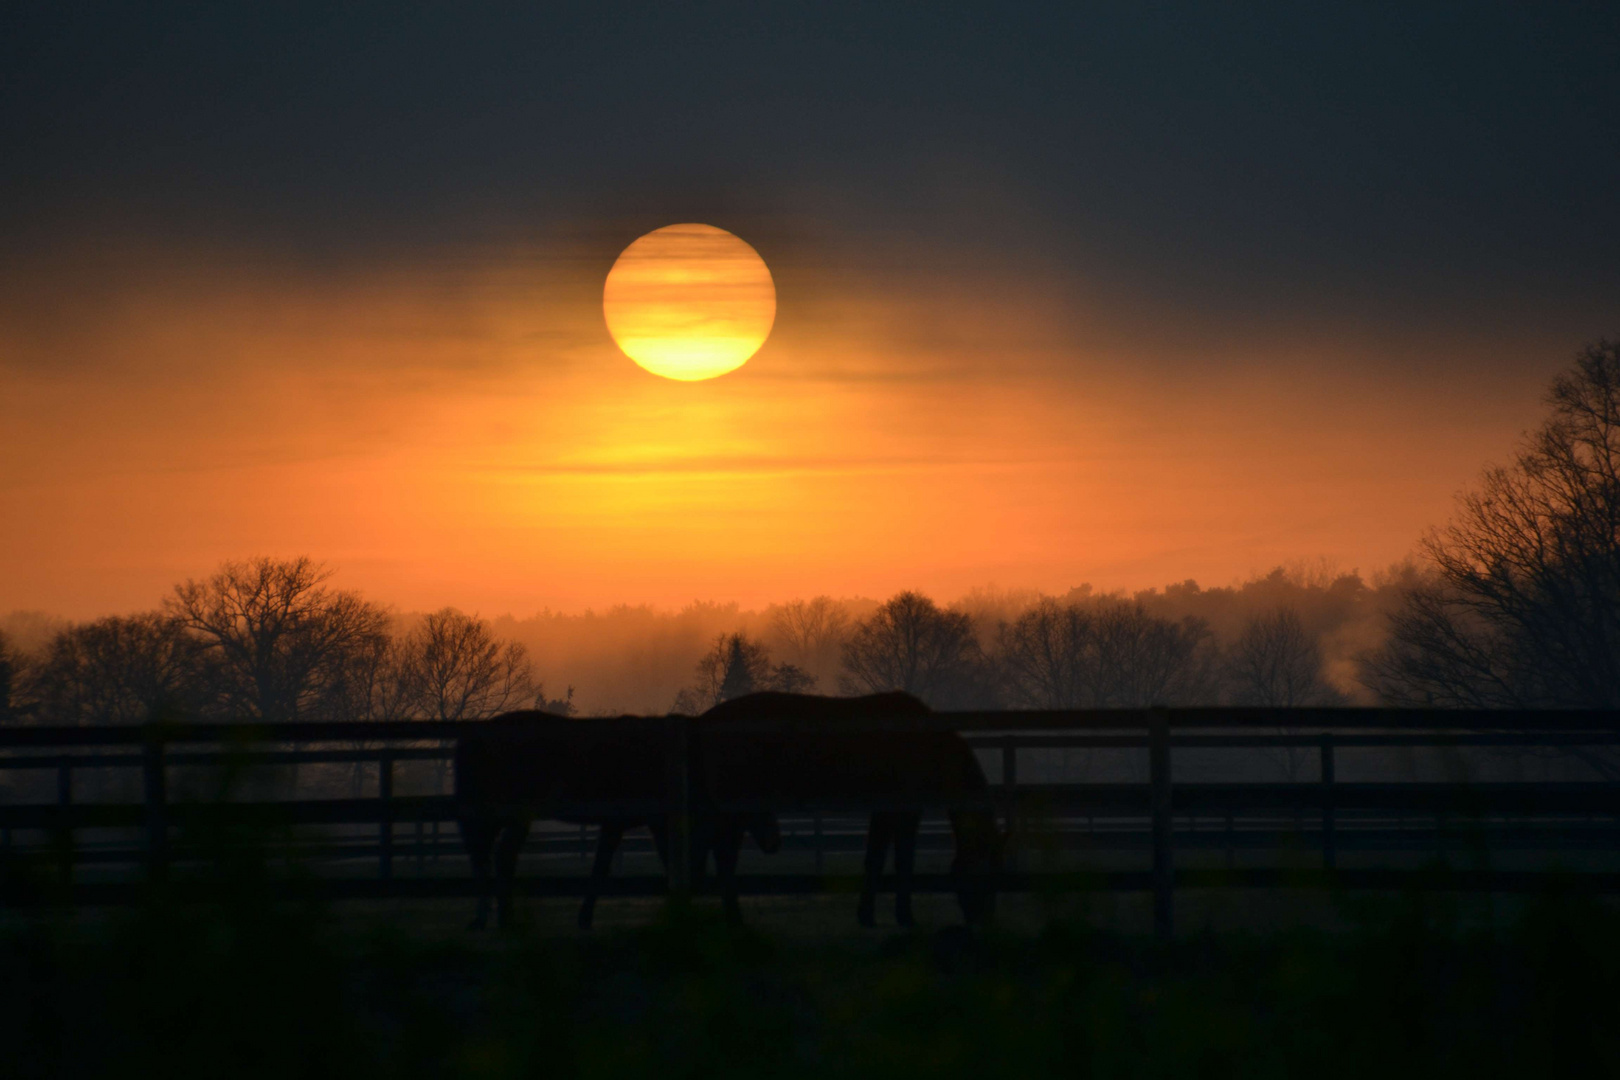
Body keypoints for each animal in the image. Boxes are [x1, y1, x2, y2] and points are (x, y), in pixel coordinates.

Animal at [456, 712, 784, 932]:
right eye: (758, 799)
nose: (774, 841)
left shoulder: (630, 824)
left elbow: (610, 865)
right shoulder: (636, 823)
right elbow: (614, 866)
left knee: (489, 856)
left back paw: (489, 917)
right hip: (512, 815)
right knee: (499, 856)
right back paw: (502, 919)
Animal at [699, 693, 1004, 932]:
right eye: (984, 874)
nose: (982, 920)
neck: (928, 744)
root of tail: (705, 721)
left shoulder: (890, 811)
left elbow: (882, 860)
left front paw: (872, 915)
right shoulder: (901, 810)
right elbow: (897, 861)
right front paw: (900, 917)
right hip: (733, 811)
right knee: (724, 857)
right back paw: (734, 919)